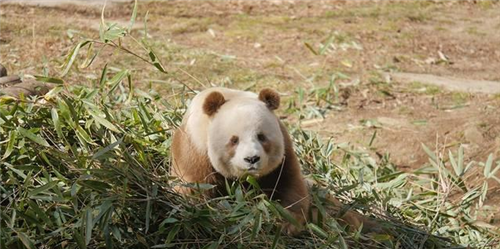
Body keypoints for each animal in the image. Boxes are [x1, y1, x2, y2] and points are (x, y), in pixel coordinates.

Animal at [170, 87, 374, 235]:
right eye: (234, 140)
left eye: (261, 137)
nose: (252, 159)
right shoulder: (194, 150)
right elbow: (194, 190)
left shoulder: (284, 154)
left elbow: (289, 186)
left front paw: (284, 222)